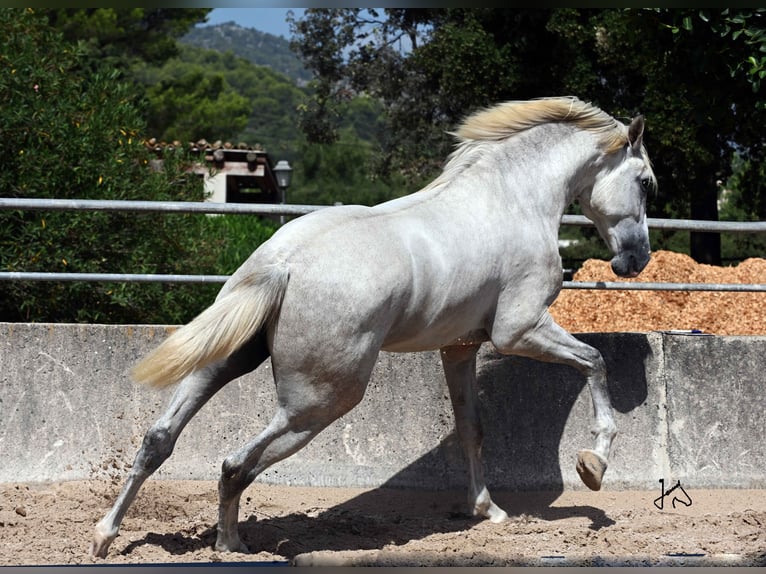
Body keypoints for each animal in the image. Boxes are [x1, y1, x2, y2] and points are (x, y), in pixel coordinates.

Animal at [90, 97, 656, 560]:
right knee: (234, 464)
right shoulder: (520, 331)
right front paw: (593, 465)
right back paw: (231, 544)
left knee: (158, 439)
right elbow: (595, 361)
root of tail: (282, 264)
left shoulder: (459, 348)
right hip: (320, 401)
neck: (511, 200)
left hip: (226, 362)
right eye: (646, 181)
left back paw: (105, 536)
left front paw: (487, 510)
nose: (635, 261)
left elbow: (471, 429)